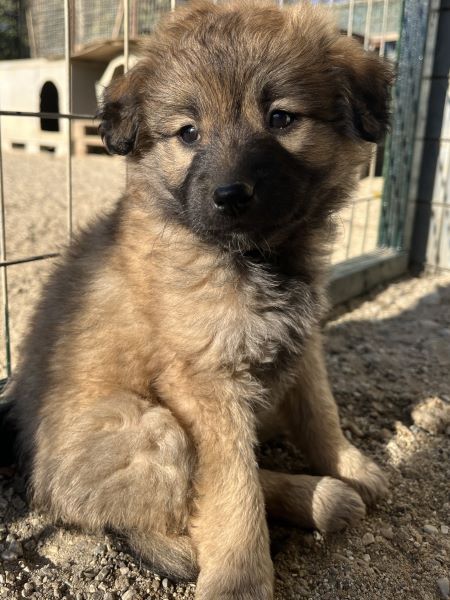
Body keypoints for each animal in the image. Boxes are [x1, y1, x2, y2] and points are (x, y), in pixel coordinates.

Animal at [3, 1, 392, 598]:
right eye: (188, 132)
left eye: (281, 118)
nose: (229, 196)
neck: (252, 258)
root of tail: (41, 487)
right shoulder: (204, 384)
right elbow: (233, 491)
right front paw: (238, 578)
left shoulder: (302, 345)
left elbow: (320, 416)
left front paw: (351, 465)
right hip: (149, 427)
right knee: (173, 510)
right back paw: (304, 502)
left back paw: (324, 494)